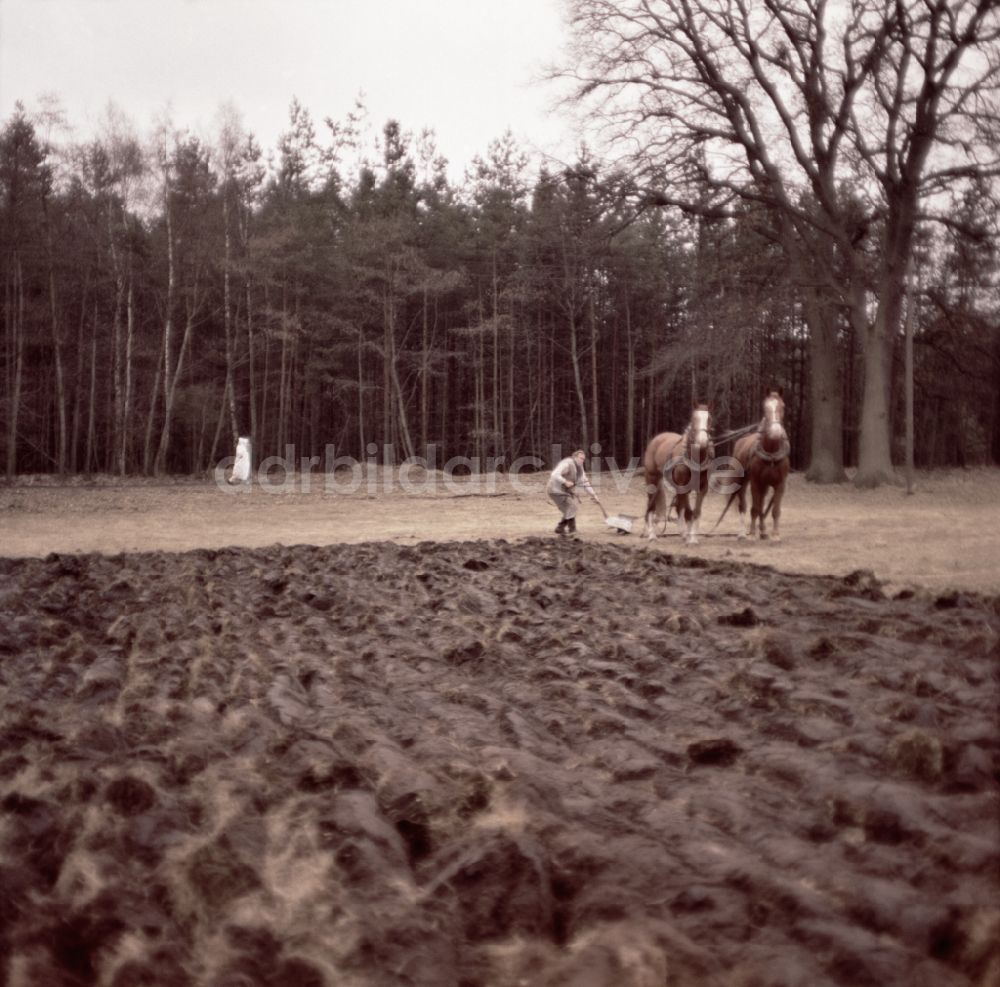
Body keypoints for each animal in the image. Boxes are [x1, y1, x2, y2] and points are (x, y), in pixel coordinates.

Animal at [640, 402, 712, 544]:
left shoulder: (702, 488)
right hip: (652, 479)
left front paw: (692, 537)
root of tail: (657, 439)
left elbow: (695, 512)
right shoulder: (683, 486)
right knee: (651, 506)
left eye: (709, 419)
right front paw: (689, 539)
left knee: (678, 506)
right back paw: (652, 535)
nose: (702, 441)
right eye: (694, 419)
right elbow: (688, 512)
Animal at [724, 390, 792, 540]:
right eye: (765, 407)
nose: (776, 432)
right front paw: (752, 534)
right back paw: (743, 533)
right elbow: (754, 508)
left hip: (765, 485)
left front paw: (775, 534)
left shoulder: (780, 484)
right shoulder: (755, 482)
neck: (771, 452)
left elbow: (775, 510)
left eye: (783, 406)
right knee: (743, 505)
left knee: (761, 504)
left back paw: (763, 531)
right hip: (742, 483)